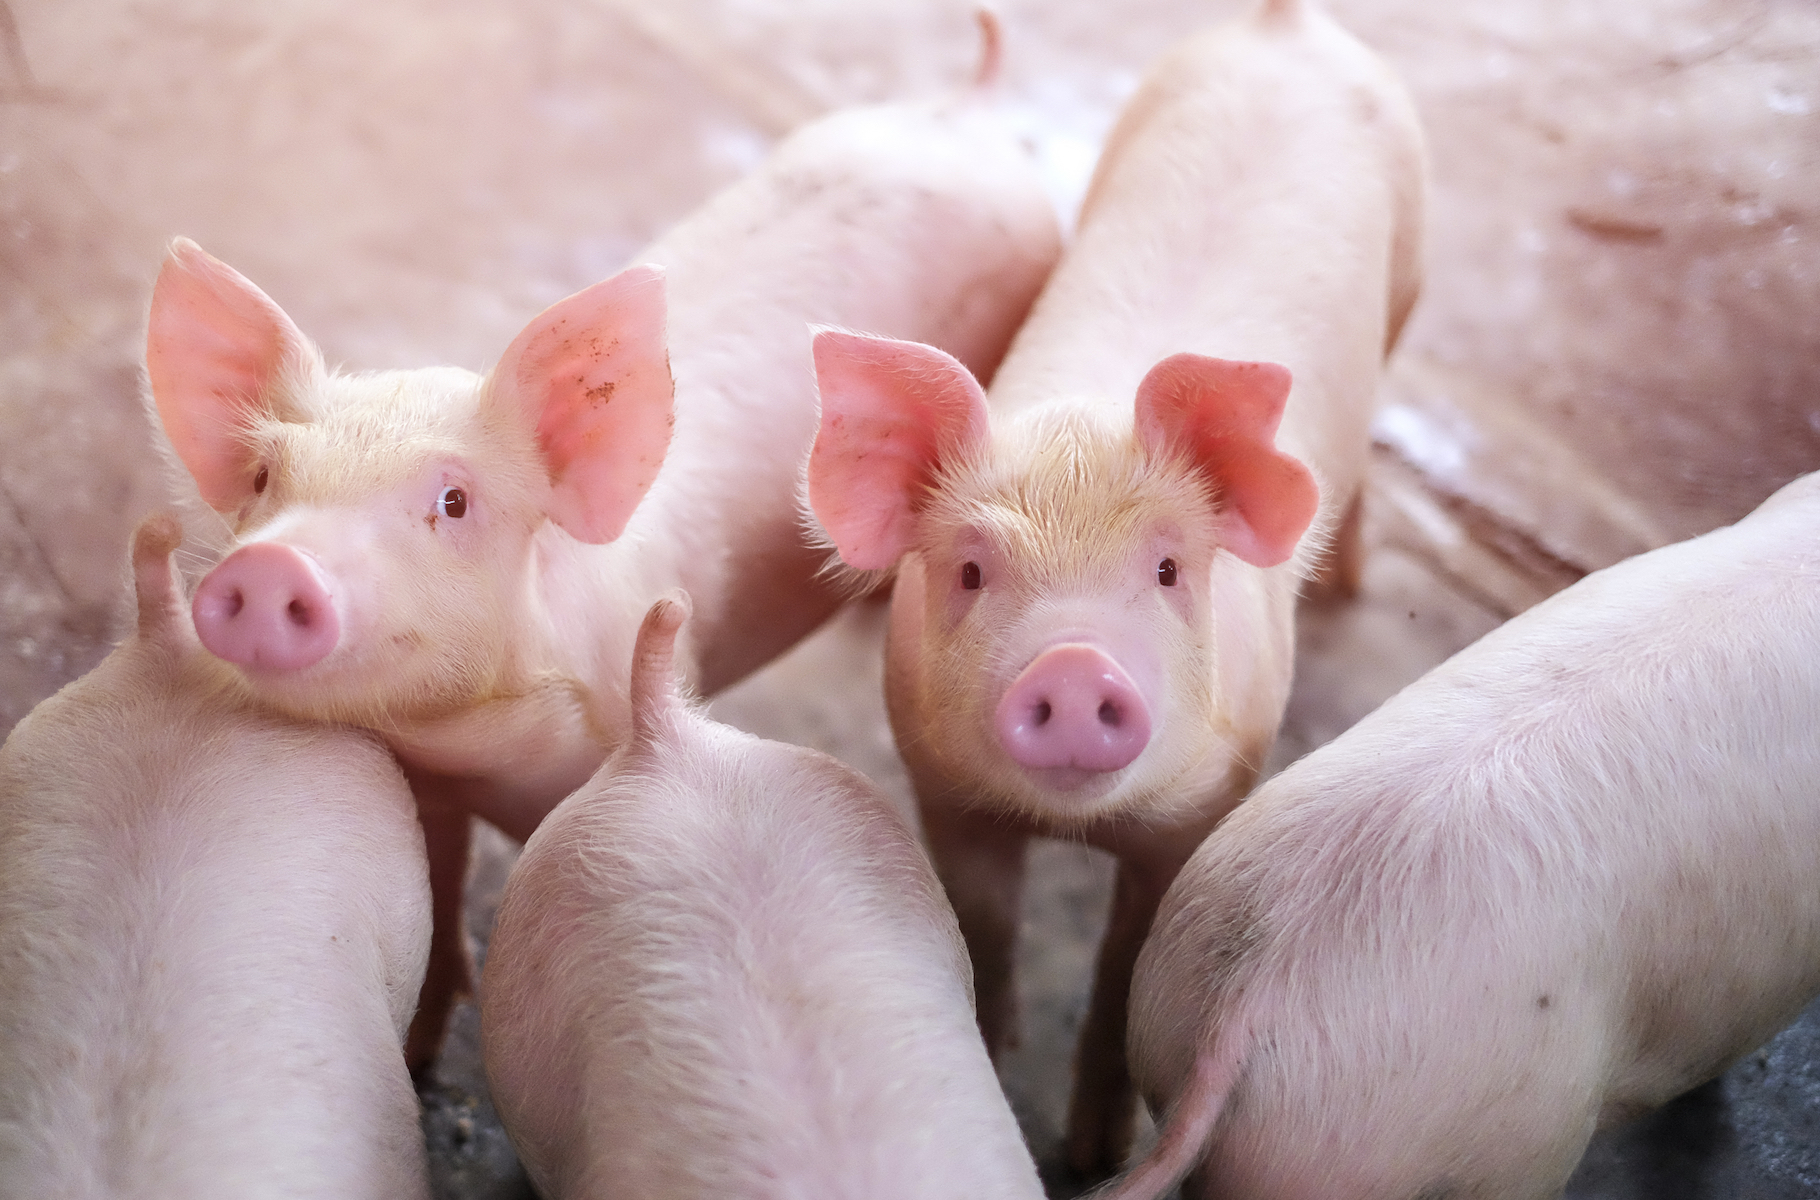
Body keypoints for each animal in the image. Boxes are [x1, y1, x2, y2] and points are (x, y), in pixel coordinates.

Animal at [143, 15, 1061, 1067]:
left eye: (454, 501)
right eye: (264, 480)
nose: (268, 565)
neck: (483, 748)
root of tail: (968, 104)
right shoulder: (433, 779)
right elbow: (441, 885)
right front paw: (420, 1052)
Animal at [803, 0, 1425, 1175]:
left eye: (1169, 567)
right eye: (970, 568)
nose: (1074, 663)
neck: (1073, 827)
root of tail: (1282, 26)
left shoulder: (1207, 799)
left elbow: (1120, 966)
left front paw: (1090, 1154)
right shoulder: (943, 790)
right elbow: (987, 934)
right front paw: (996, 1059)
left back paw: (1351, 585)